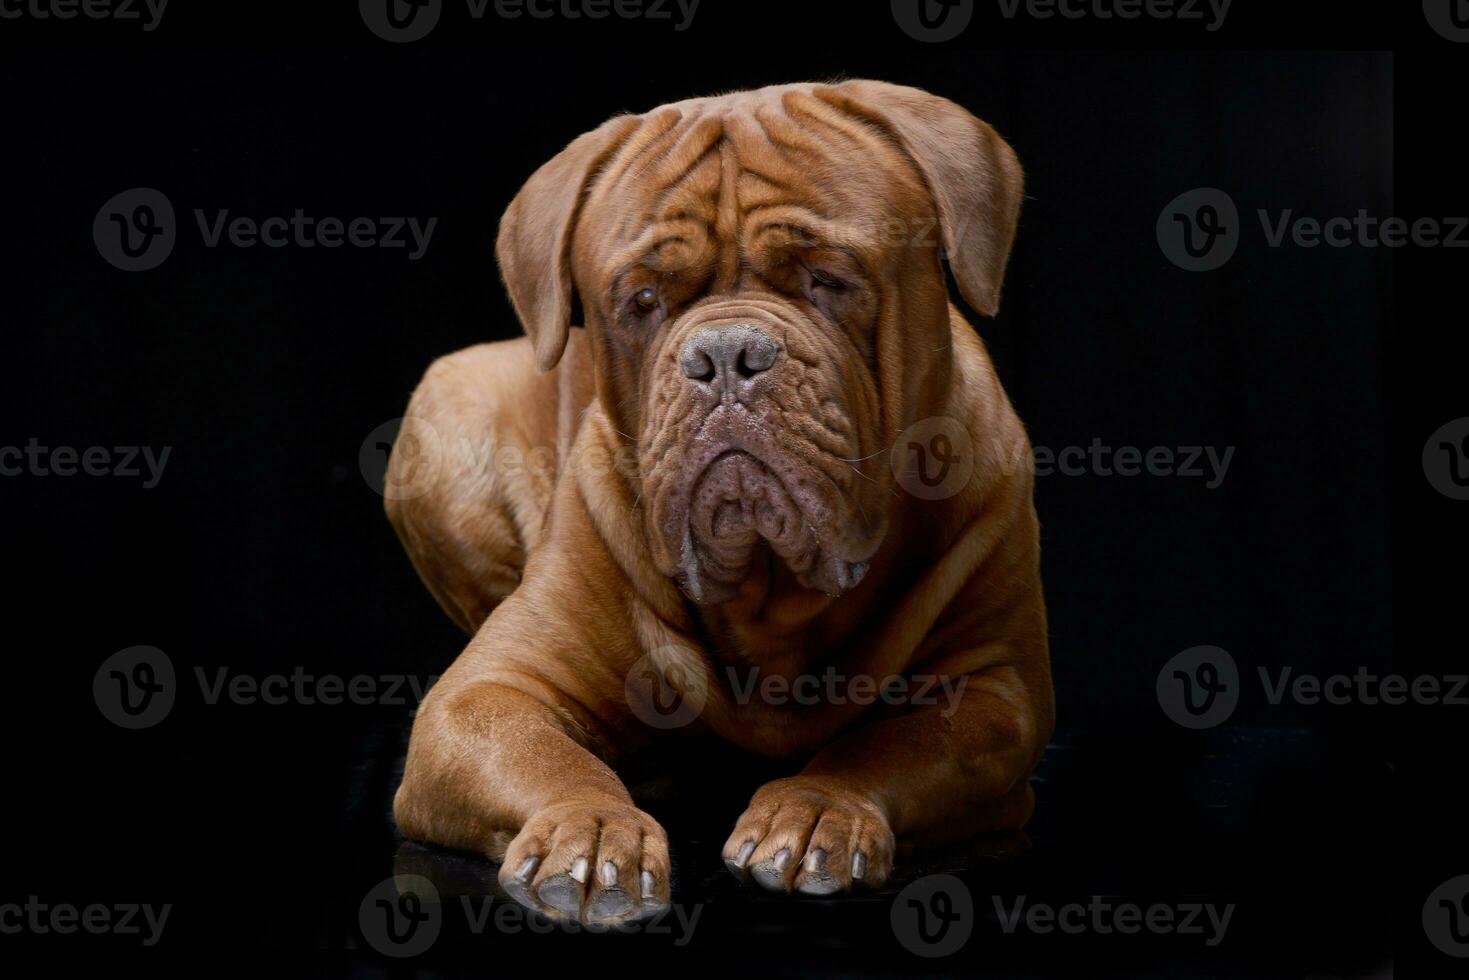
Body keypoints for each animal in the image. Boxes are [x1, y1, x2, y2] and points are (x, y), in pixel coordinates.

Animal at [387, 78, 1057, 928]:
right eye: (642, 299)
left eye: (827, 277)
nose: (725, 354)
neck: (772, 598)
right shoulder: (483, 695)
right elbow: (544, 756)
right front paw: (590, 831)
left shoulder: (992, 693)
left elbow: (886, 745)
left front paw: (816, 808)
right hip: (447, 405)